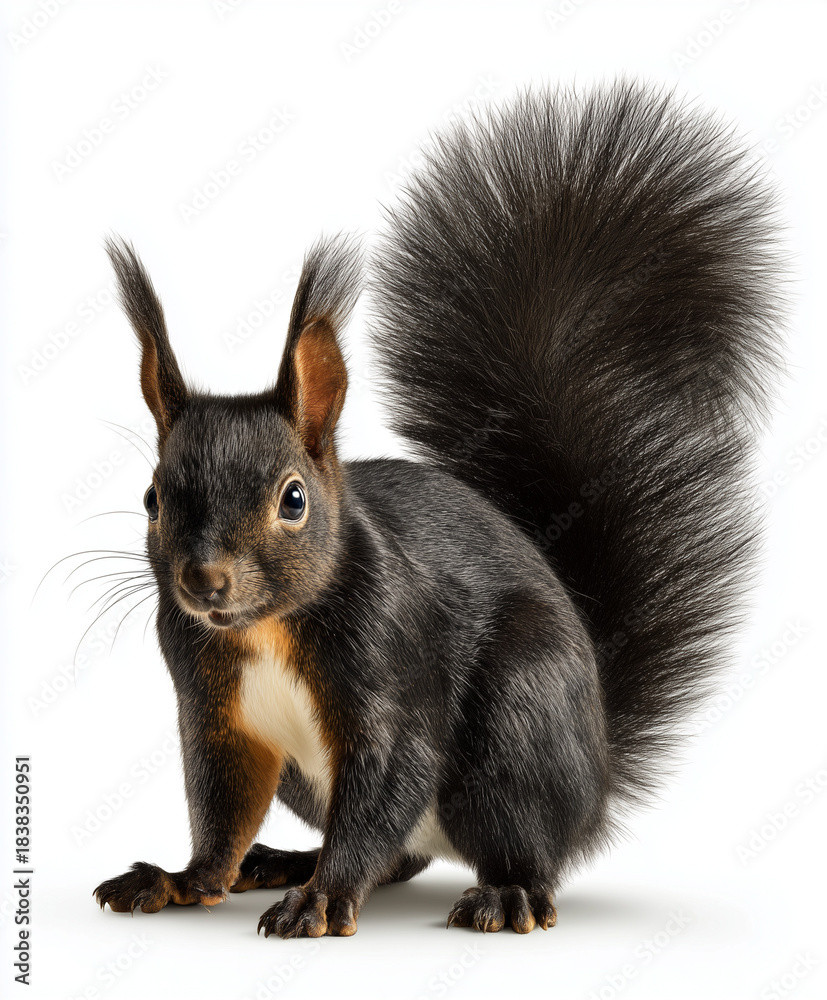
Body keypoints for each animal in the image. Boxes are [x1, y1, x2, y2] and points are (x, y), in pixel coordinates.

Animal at [93, 80, 783, 937]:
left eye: (293, 499)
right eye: (152, 497)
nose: (204, 580)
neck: (264, 629)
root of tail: (595, 781)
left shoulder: (392, 660)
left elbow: (389, 775)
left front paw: (320, 900)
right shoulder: (212, 710)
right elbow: (221, 806)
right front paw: (183, 879)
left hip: (519, 717)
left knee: (518, 849)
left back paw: (503, 893)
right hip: (314, 780)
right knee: (401, 855)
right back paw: (287, 861)